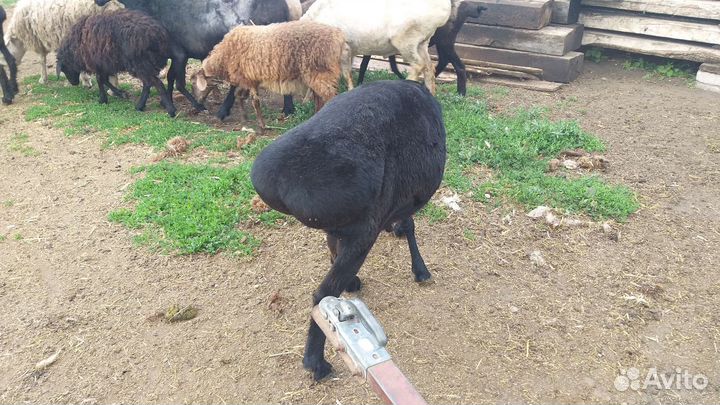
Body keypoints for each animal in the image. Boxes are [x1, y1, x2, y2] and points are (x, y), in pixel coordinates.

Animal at [94, 0, 301, 119]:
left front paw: (195, 106)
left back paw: (223, 111)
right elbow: (169, 78)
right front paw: (165, 102)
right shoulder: (176, 55)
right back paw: (287, 108)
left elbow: (175, 81)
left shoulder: (178, 53)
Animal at [191, 20, 352, 132]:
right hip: (318, 75)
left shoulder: (248, 79)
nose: (197, 106)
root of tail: (340, 38)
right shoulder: (249, 79)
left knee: (330, 98)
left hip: (321, 73)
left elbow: (255, 102)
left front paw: (262, 126)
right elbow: (240, 96)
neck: (224, 56)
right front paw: (244, 117)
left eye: (194, 84)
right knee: (320, 99)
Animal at [250, 79, 447, 381]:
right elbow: (411, 224)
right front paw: (421, 270)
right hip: (365, 232)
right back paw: (315, 363)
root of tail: (280, 181)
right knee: (321, 296)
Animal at [301, 0, 451, 94]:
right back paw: (431, 94)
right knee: (429, 68)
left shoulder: (344, 49)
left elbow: (346, 73)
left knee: (419, 65)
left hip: (406, 40)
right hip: (421, 43)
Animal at [357, 0, 486, 96]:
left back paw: (460, 94)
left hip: (445, 41)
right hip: (442, 42)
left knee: (457, 65)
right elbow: (391, 64)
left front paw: (359, 84)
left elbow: (365, 64)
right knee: (442, 61)